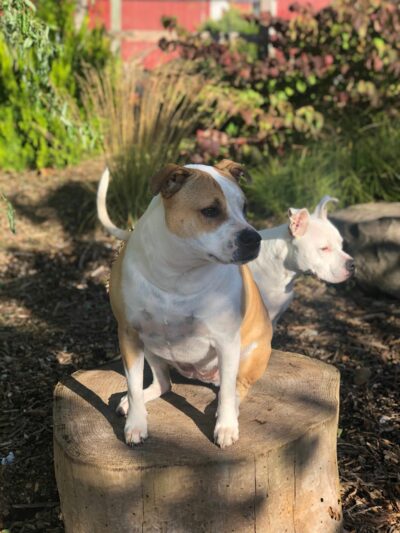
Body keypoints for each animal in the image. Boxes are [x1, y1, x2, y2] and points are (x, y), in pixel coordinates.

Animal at [97, 161, 272, 448]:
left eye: (245, 207)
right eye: (210, 210)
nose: (253, 238)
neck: (179, 271)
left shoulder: (226, 341)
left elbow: (227, 394)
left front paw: (225, 427)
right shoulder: (129, 334)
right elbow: (133, 385)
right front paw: (136, 423)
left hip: (251, 355)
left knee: (235, 389)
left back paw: (228, 413)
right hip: (152, 348)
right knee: (164, 384)